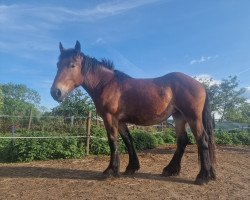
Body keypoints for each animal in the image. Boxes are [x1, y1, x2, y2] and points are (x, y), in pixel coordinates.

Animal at [50, 40, 215, 184]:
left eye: (72, 65)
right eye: (57, 65)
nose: (55, 92)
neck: (107, 84)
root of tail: (200, 84)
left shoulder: (110, 118)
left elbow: (113, 142)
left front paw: (110, 171)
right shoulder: (120, 121)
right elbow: (128, 141)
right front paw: (131, 167)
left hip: (192, 117)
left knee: (202, 139)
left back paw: (202, 176)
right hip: (179, 116)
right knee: (182, 140)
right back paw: (170, 170)